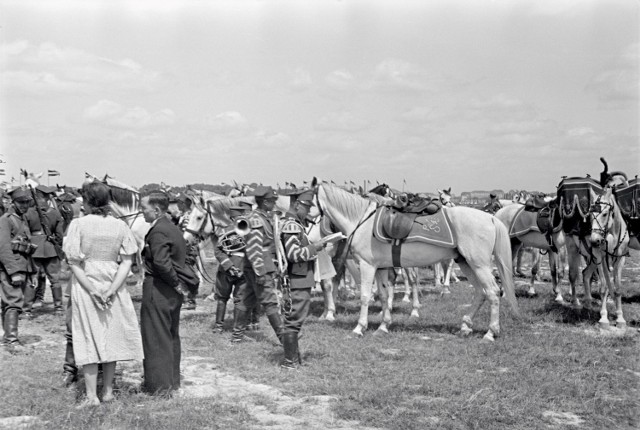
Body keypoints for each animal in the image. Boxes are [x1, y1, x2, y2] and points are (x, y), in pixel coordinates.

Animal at [316, 180, 520, 340]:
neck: (362, 220)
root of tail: (491, 219)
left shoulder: (367, 265)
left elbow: (365, 295)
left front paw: (359, 327)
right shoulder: (380, 267)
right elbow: (383, 295)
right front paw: (383, 326)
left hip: (479, 265)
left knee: (493, 292)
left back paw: (490, 332)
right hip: (467, 263)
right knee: (481, 292)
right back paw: (465, 325)